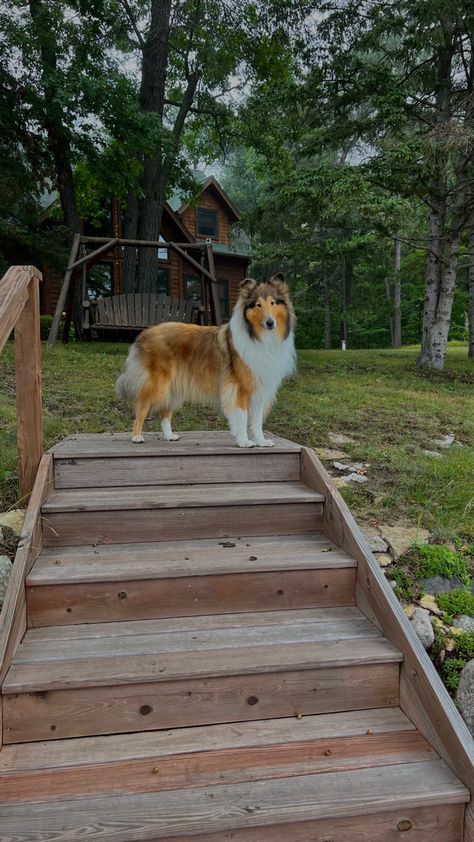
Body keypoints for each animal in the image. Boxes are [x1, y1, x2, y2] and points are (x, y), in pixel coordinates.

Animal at [115, 274, 294, 446]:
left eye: (273, 302)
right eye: (258, 305)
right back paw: (136, 436)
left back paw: (169, 436)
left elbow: (256, 422)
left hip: (172, 386)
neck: (259, 337)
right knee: (141, 407)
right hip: (157, 384)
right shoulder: (240, 388)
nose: (270, 323)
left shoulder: (259, 390)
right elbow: (242, 417)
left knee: (165, 412)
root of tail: (144, 333)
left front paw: (261, 441)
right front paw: (244, 442)